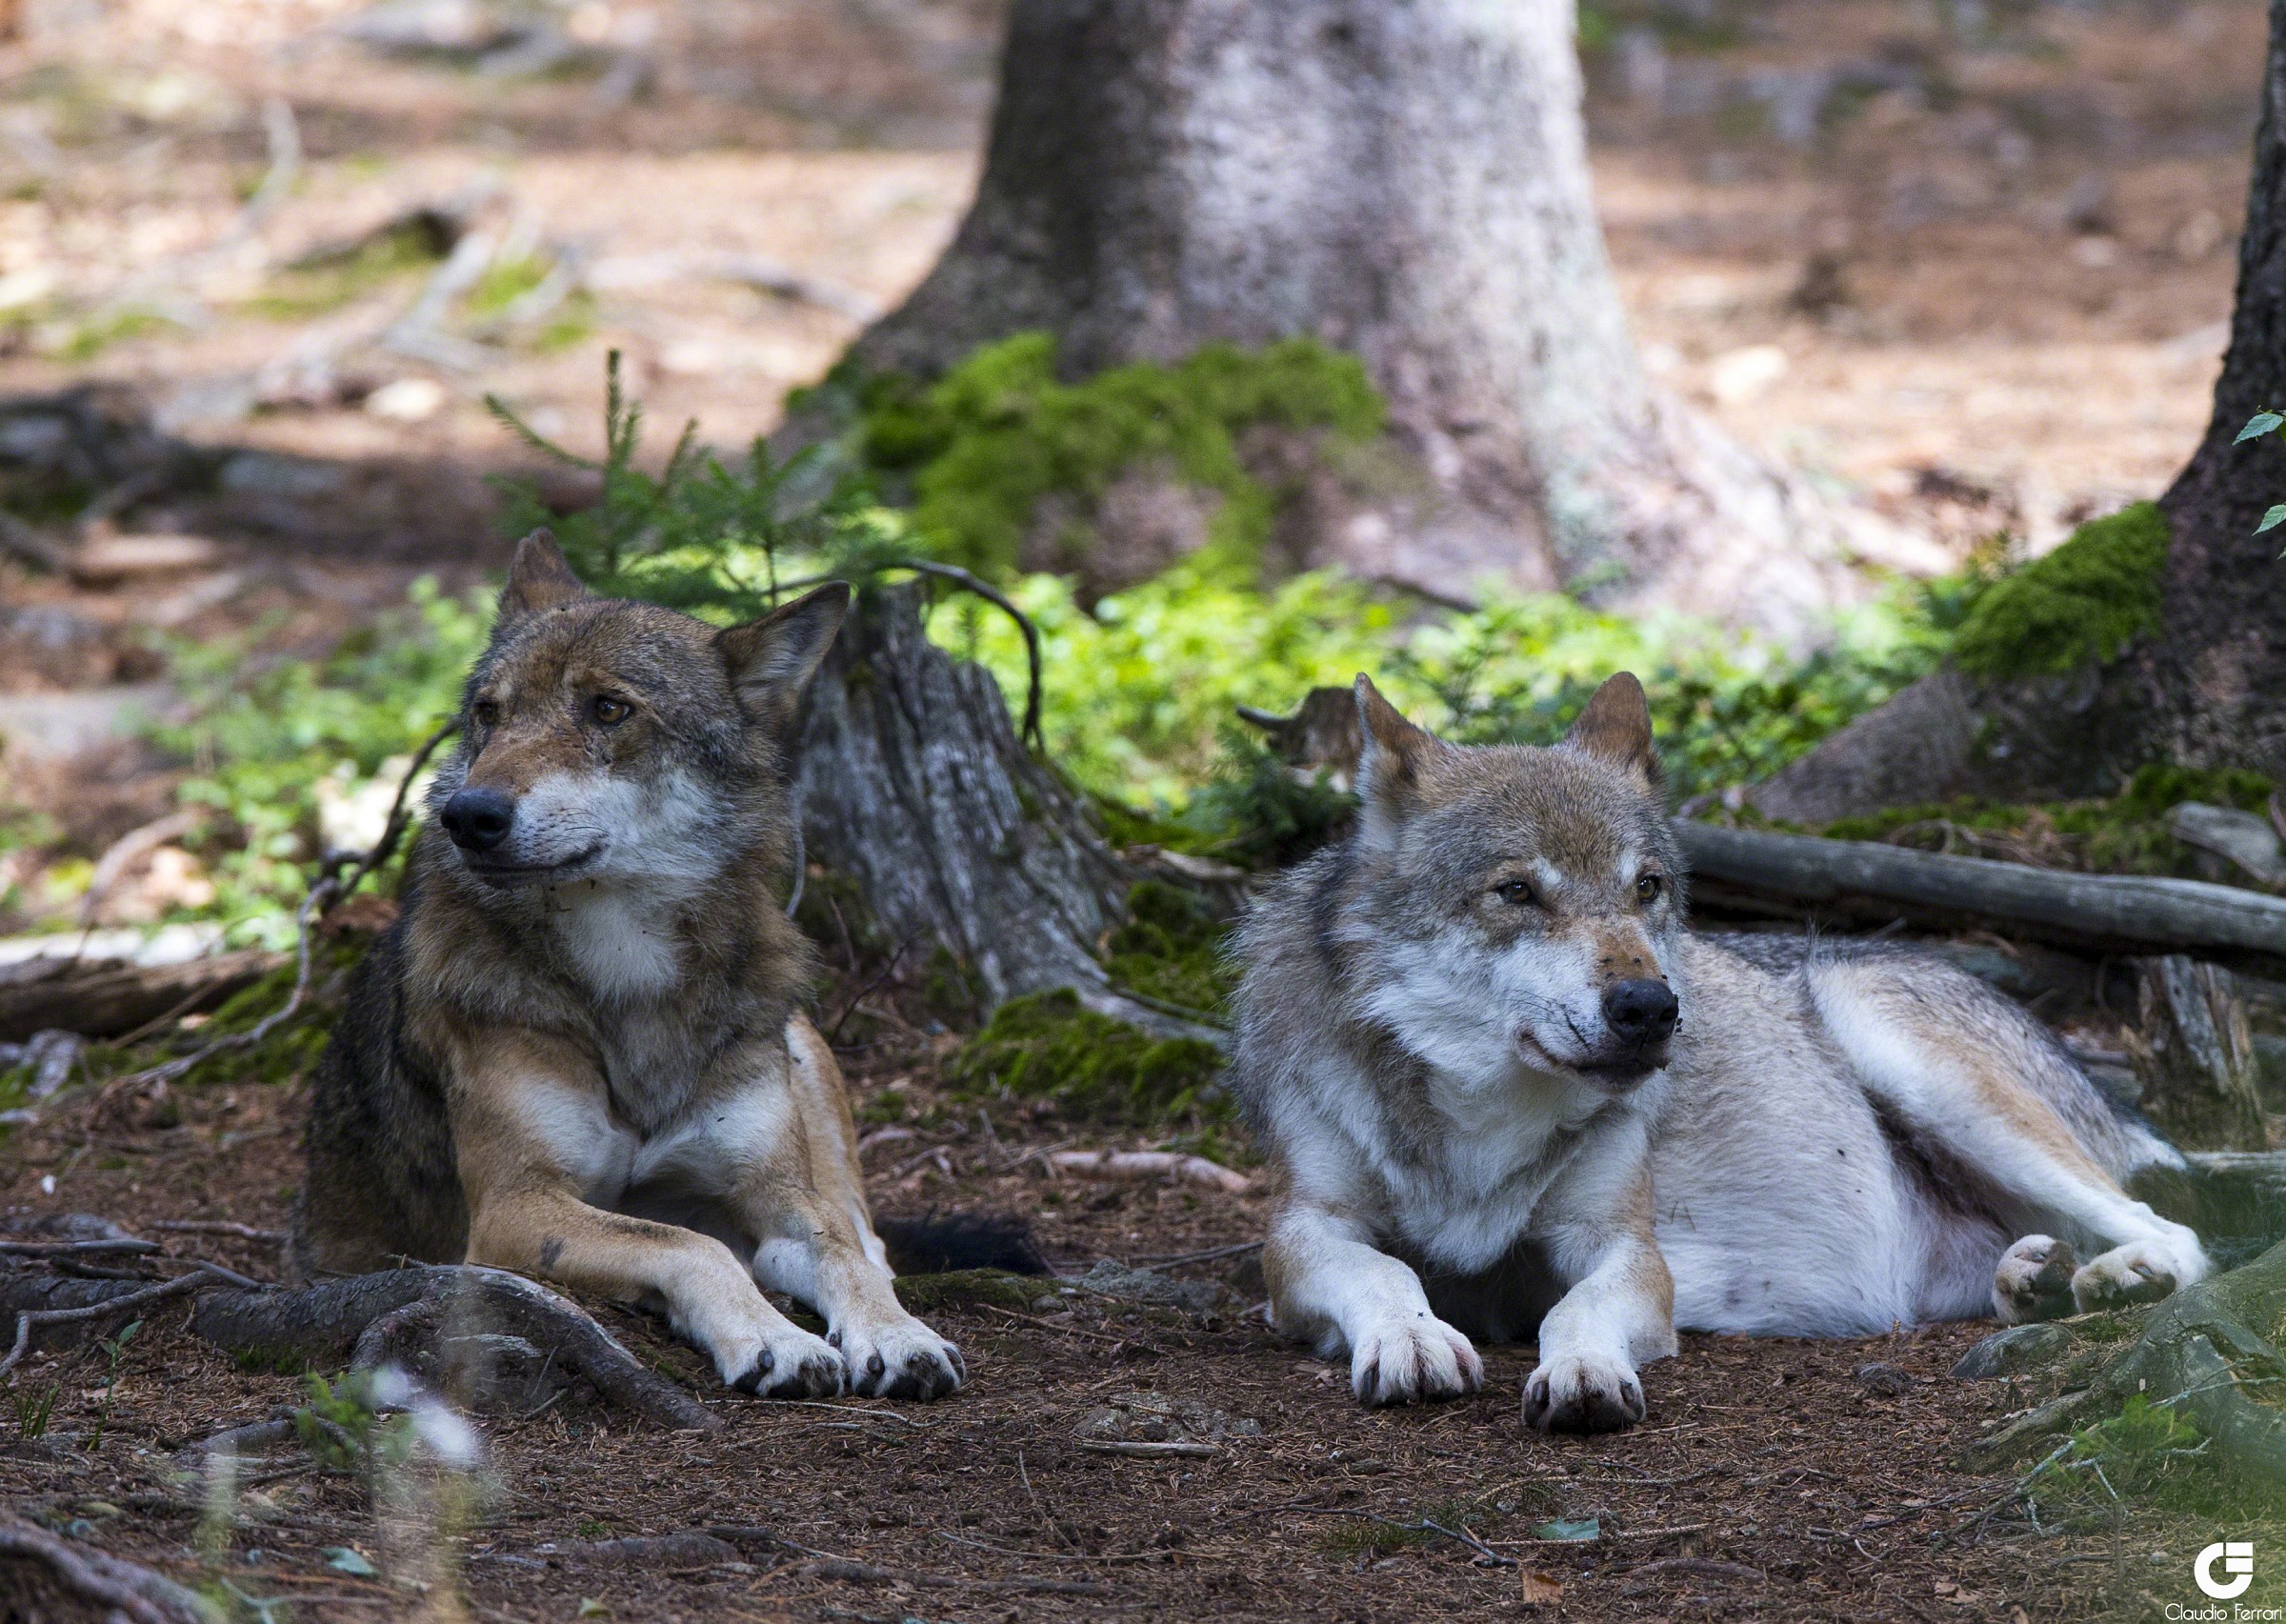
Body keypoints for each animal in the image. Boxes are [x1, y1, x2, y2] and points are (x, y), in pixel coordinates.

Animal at [293, 532, 967, 1400]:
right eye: (489, 713)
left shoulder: (770, 1192)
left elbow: (834, 1246)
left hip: (803, 1045)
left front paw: (895, 1333)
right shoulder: (515, 1210)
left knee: (866, 1234)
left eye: (608, 708)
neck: (631, 975)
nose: (468, 815)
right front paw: (774, 1338)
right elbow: (687, 1244)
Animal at [1230, 673, 2208, 1431]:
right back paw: (2035, 1280)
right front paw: (1410, 1335)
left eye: (1647, 887)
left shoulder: (1626, 1247)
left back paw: (2123, 1276)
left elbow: (1575, 1308)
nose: (1651, 1007)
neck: (1479, 1125)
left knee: (2177, 1230)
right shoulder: (1299, 1237)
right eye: (1516, 892)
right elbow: (1384, 1265)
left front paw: (1584, 1368)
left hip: (1891, 1034)